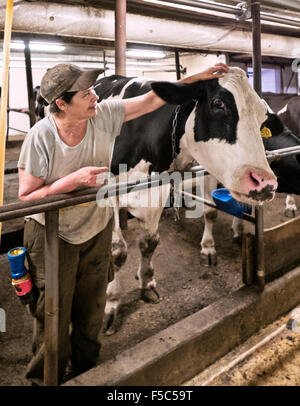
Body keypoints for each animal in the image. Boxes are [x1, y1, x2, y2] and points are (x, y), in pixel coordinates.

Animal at [94, 66, 276, 334]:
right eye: (218, 103)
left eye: (263, 117)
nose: (265, 182)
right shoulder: (108, 191)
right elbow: (117, 252)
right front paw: (112, 305)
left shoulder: (159, 187)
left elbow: (150, 241)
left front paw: (147, 282)